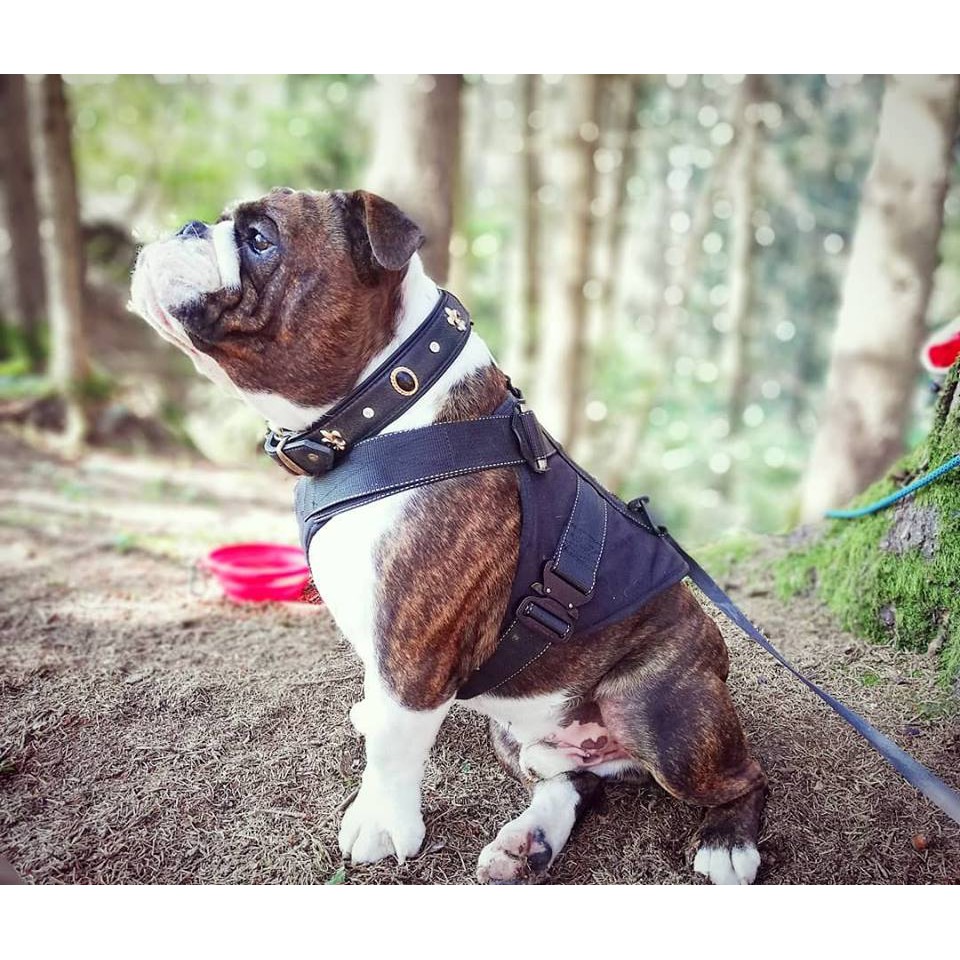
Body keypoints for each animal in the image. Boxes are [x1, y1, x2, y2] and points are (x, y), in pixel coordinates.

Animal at [130, 187, 767, 884]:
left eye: (260, 239)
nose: (188, 225)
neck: (382, 410)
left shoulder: (415, 652)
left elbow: (394, 741)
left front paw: (380, 823)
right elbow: (380, 707)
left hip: (655, 710)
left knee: (745, 775)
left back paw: (728, 843)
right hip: (519, 731)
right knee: (572, 784)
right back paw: (528, 842)